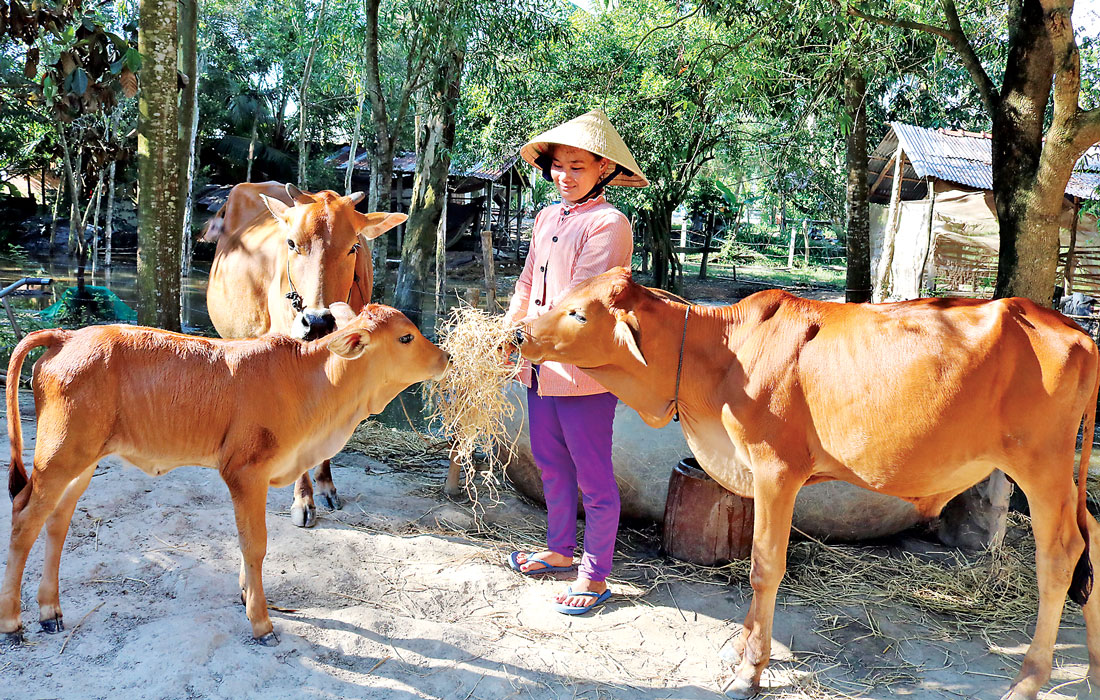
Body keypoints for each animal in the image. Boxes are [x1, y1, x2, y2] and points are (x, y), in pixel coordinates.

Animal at [2, 303, 446, 642]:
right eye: (406, 338)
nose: (447, 357)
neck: (310, 384)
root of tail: (66, 336)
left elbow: (248, 543)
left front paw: (246, 595)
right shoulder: (245, 473)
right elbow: (255, 545)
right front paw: (261, 621)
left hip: (81, 463)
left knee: (56, 522)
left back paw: (50, 612)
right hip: (58, 457)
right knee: (24, 518)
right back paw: (12, 621)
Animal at [519, 267, 1100, 700]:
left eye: (578, 311)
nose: (521, 332)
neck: (722, 354)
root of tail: (1074, 329)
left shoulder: (777, 469)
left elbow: (764, 566)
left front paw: (749, 672)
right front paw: (742, 649)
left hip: (1042, 466)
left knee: (1061, 555)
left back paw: (1028, 682)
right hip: (1059, 477)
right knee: (1091, 535)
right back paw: (1093, 671)